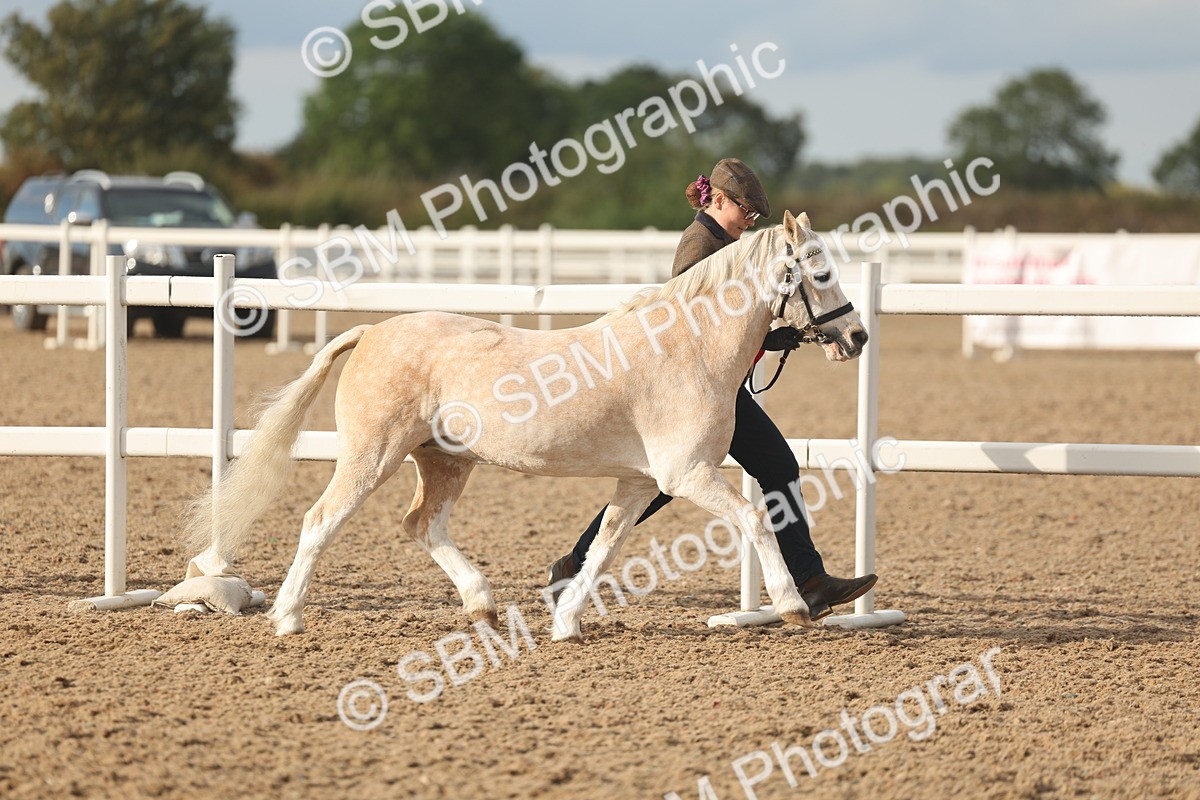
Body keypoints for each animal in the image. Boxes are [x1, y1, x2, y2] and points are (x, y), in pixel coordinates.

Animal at [184, 210, 868, 641]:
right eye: (819, 270)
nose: (857, 336)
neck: (686, 348)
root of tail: (371, 330)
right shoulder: (687, 474)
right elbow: (756, 516)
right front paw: (793, 606)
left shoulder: (642, 483)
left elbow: (606, 546)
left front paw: (566, 625)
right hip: (371, 456)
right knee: (321, 521)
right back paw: (288, 618)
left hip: (444, 460)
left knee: (422, 525)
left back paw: (483, 607)